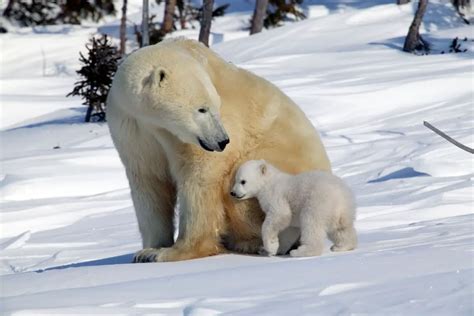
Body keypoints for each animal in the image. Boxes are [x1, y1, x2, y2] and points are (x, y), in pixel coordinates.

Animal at [106, 37, 332, 262]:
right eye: (202, 109)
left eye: (215, 107)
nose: (223, 141)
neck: (157, 125)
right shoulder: (133, 129)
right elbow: (149, 182)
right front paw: (147, 250)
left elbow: (200, 178)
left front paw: (172, 252)